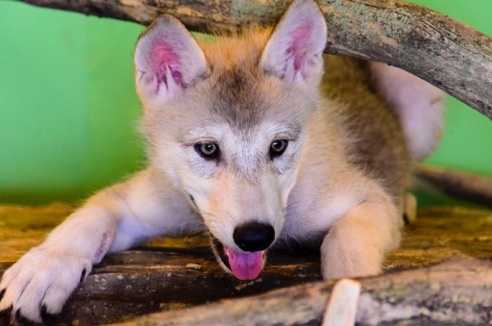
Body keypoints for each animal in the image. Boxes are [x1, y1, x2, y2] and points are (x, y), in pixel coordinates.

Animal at [0, 0, 444, 320]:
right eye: (208, 149)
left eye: (279, 146)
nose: (255, 236)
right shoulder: (142, 199)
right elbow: (88, 216)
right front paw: (46, 266)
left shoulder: (369, 198)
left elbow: (346, 245)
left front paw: (346, 291)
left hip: (419, 99)